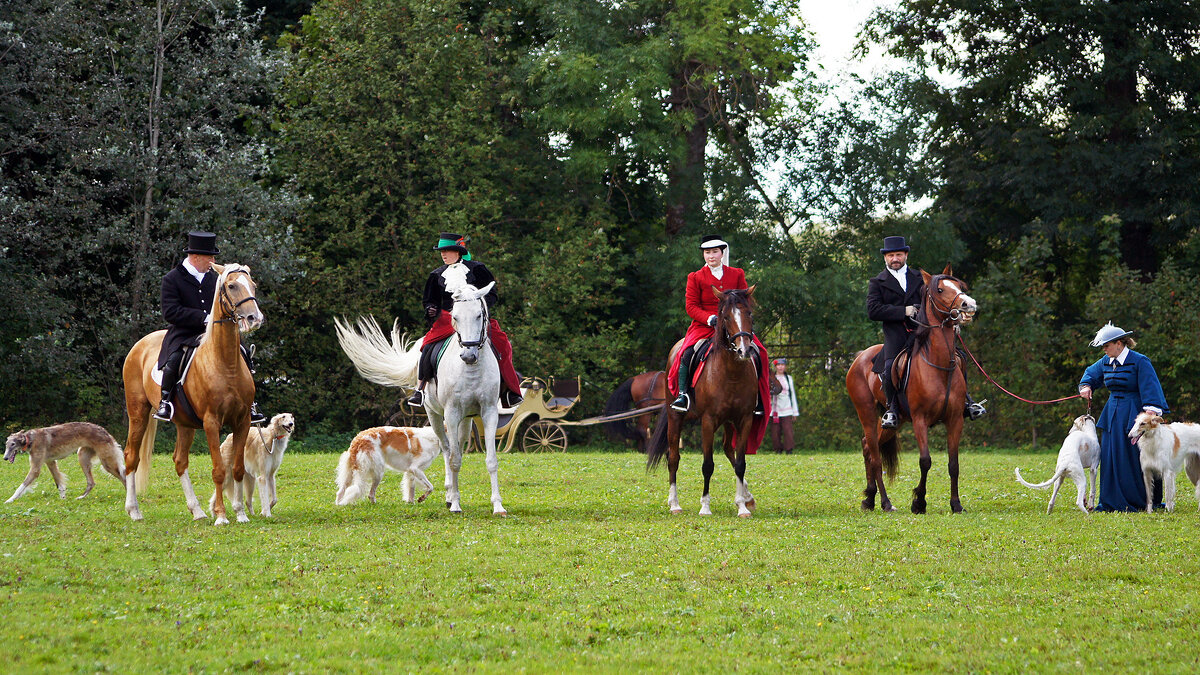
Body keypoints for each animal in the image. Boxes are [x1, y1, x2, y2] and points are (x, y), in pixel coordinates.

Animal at [121, 261, 262, 521]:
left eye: (253, 285)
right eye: (231, 286)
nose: (254, 318)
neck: (225, 363)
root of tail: (140, 344)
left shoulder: (243, 421)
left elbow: (237, 468)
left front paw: (240, 513)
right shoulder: (211, 422)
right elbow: (219, 470)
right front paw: (222, 516)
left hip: (184, 423)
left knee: (179, 461)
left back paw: (196, 510)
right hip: (138, 412)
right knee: (131, 456)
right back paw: (134, 510)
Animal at [333, 261, 506, 509]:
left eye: (479, 315)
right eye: (455, 316)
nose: (468, 355)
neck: (471, 370)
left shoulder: (489, 411)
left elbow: (491, 460)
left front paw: (498, 506)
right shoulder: (450, 413)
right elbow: (453, 459)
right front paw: (455, 503)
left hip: (466, 419)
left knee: (458, 447)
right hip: (436, 415)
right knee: (448, 450)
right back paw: (450, 495)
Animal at [648, 283, 758, 514]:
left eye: (749, 313)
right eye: (725, 316)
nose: (744, 350)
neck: (732, 372)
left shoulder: (744, 419)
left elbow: (741, 463)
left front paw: (742, 507)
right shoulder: (708, 421)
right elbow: (708, 464)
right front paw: (705, 506)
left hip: (728, 422)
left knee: (728, 449)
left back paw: (746, 497)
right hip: (675, 417)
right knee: (673, 458)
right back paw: (674, 504)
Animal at [844, 263, 974, 509]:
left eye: (960, 286)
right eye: (940, 290)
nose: (968, 305)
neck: (938, 365)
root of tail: (860, 357)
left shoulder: (955, 420)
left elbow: (954, 464)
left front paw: (956, 504)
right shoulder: (920, 420)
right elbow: (925, 461)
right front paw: (919, 502)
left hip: (895, 422)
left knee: (868, 446)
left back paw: (870, 498)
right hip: (866, 413)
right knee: (875, 456)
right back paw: (885, 502)